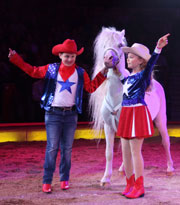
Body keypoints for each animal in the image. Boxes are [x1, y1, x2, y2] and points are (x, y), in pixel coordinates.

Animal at [89, 26, 174, 186]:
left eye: (120, 45)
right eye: (104, 45)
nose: (108, 59)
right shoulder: (109, 127)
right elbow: (109, 153)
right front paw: (105, 178)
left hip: (161, 119)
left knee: (166, 141)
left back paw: (170, 168)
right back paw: (122, 169)